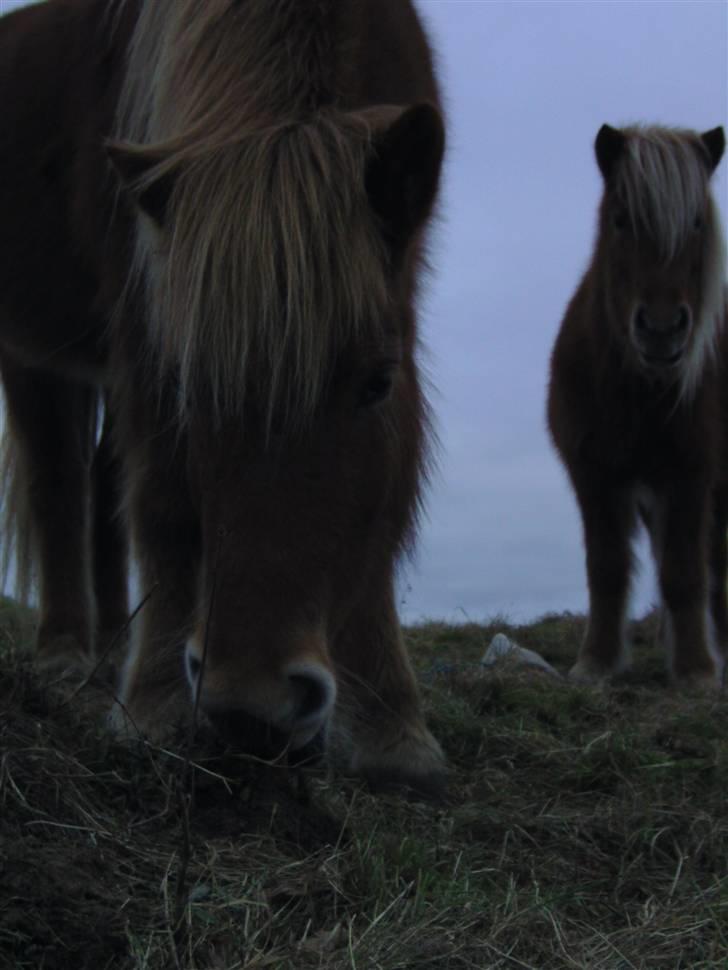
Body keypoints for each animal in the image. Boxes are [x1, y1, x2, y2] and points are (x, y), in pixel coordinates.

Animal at [0, 0, 447, 794]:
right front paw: (152, 705)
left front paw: (395, 729)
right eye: (187, 385)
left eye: (377, 381)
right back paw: (65, 656)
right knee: (58, 486)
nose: (250, 709)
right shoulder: (142, 320)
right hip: (32, 356)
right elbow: (162, 504)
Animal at [548, 123, 727, 687]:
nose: (663, 329)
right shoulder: (595, 476)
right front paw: (596, 662)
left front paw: (695, 670)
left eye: (697, 222)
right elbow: (606, 570)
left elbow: (686, 572)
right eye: (621, 219)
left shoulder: (691, 475)